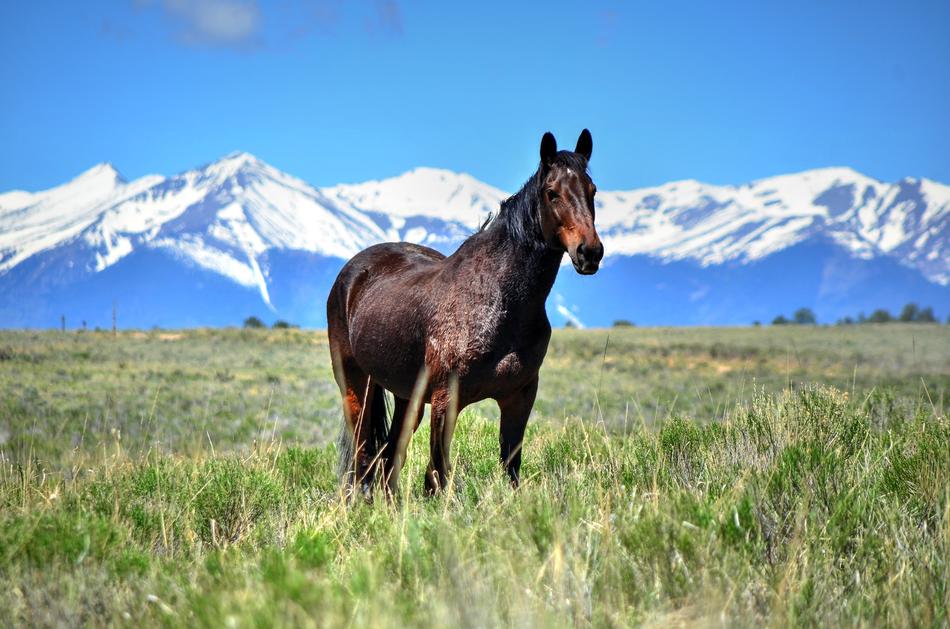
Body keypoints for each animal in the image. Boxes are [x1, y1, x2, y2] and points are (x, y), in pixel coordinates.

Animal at [327, 129, 603, 496]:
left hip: (406, 397)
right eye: (552, 193)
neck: (501, 301)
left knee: (389, 457)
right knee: (362, 454)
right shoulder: (447, 399)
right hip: (356, 383)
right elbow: (438, 474)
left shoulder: (520, 396)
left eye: (592, 190)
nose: (590, 252)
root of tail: (351, 273)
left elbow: (509, 466)